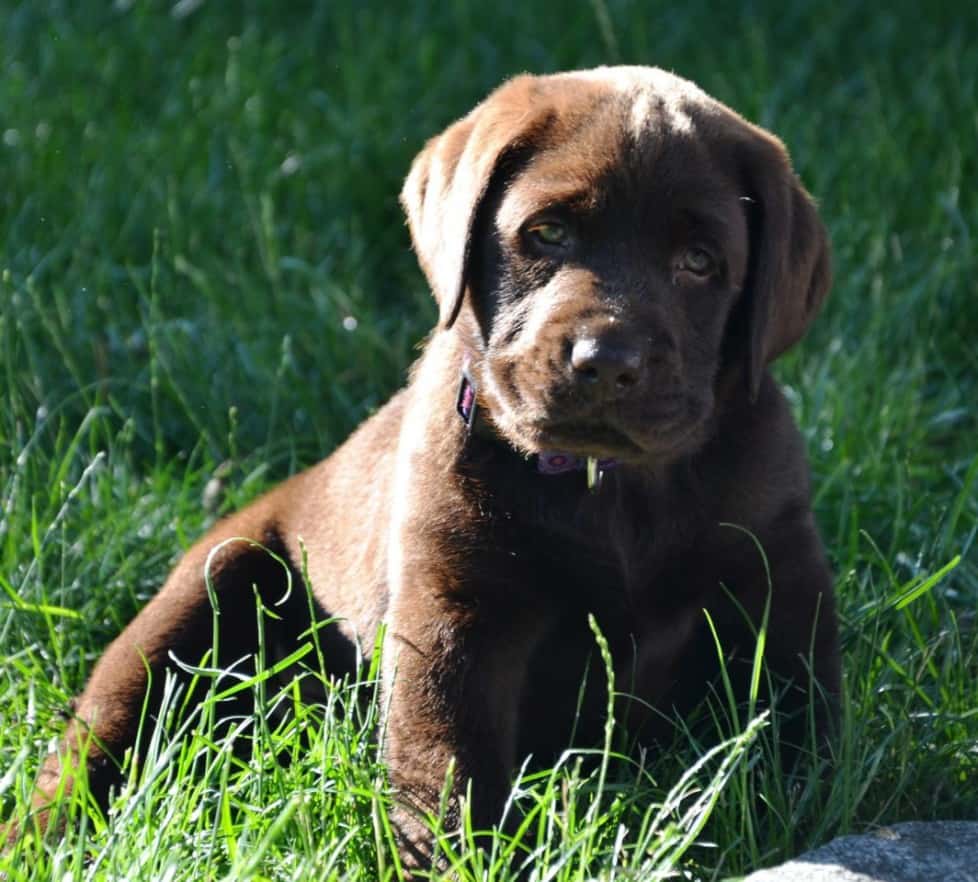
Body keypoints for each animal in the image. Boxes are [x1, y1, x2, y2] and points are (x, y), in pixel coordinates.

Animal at [7, 67, 840, 868]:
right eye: (547, 234)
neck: (609, 486)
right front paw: (456, 862)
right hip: (203, 591)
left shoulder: (781, 578)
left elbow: (807, 717)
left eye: (699, 263)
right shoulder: (452, 618)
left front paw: (807, 803)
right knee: (92, 745)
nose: (605, 361)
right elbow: (447, 769)